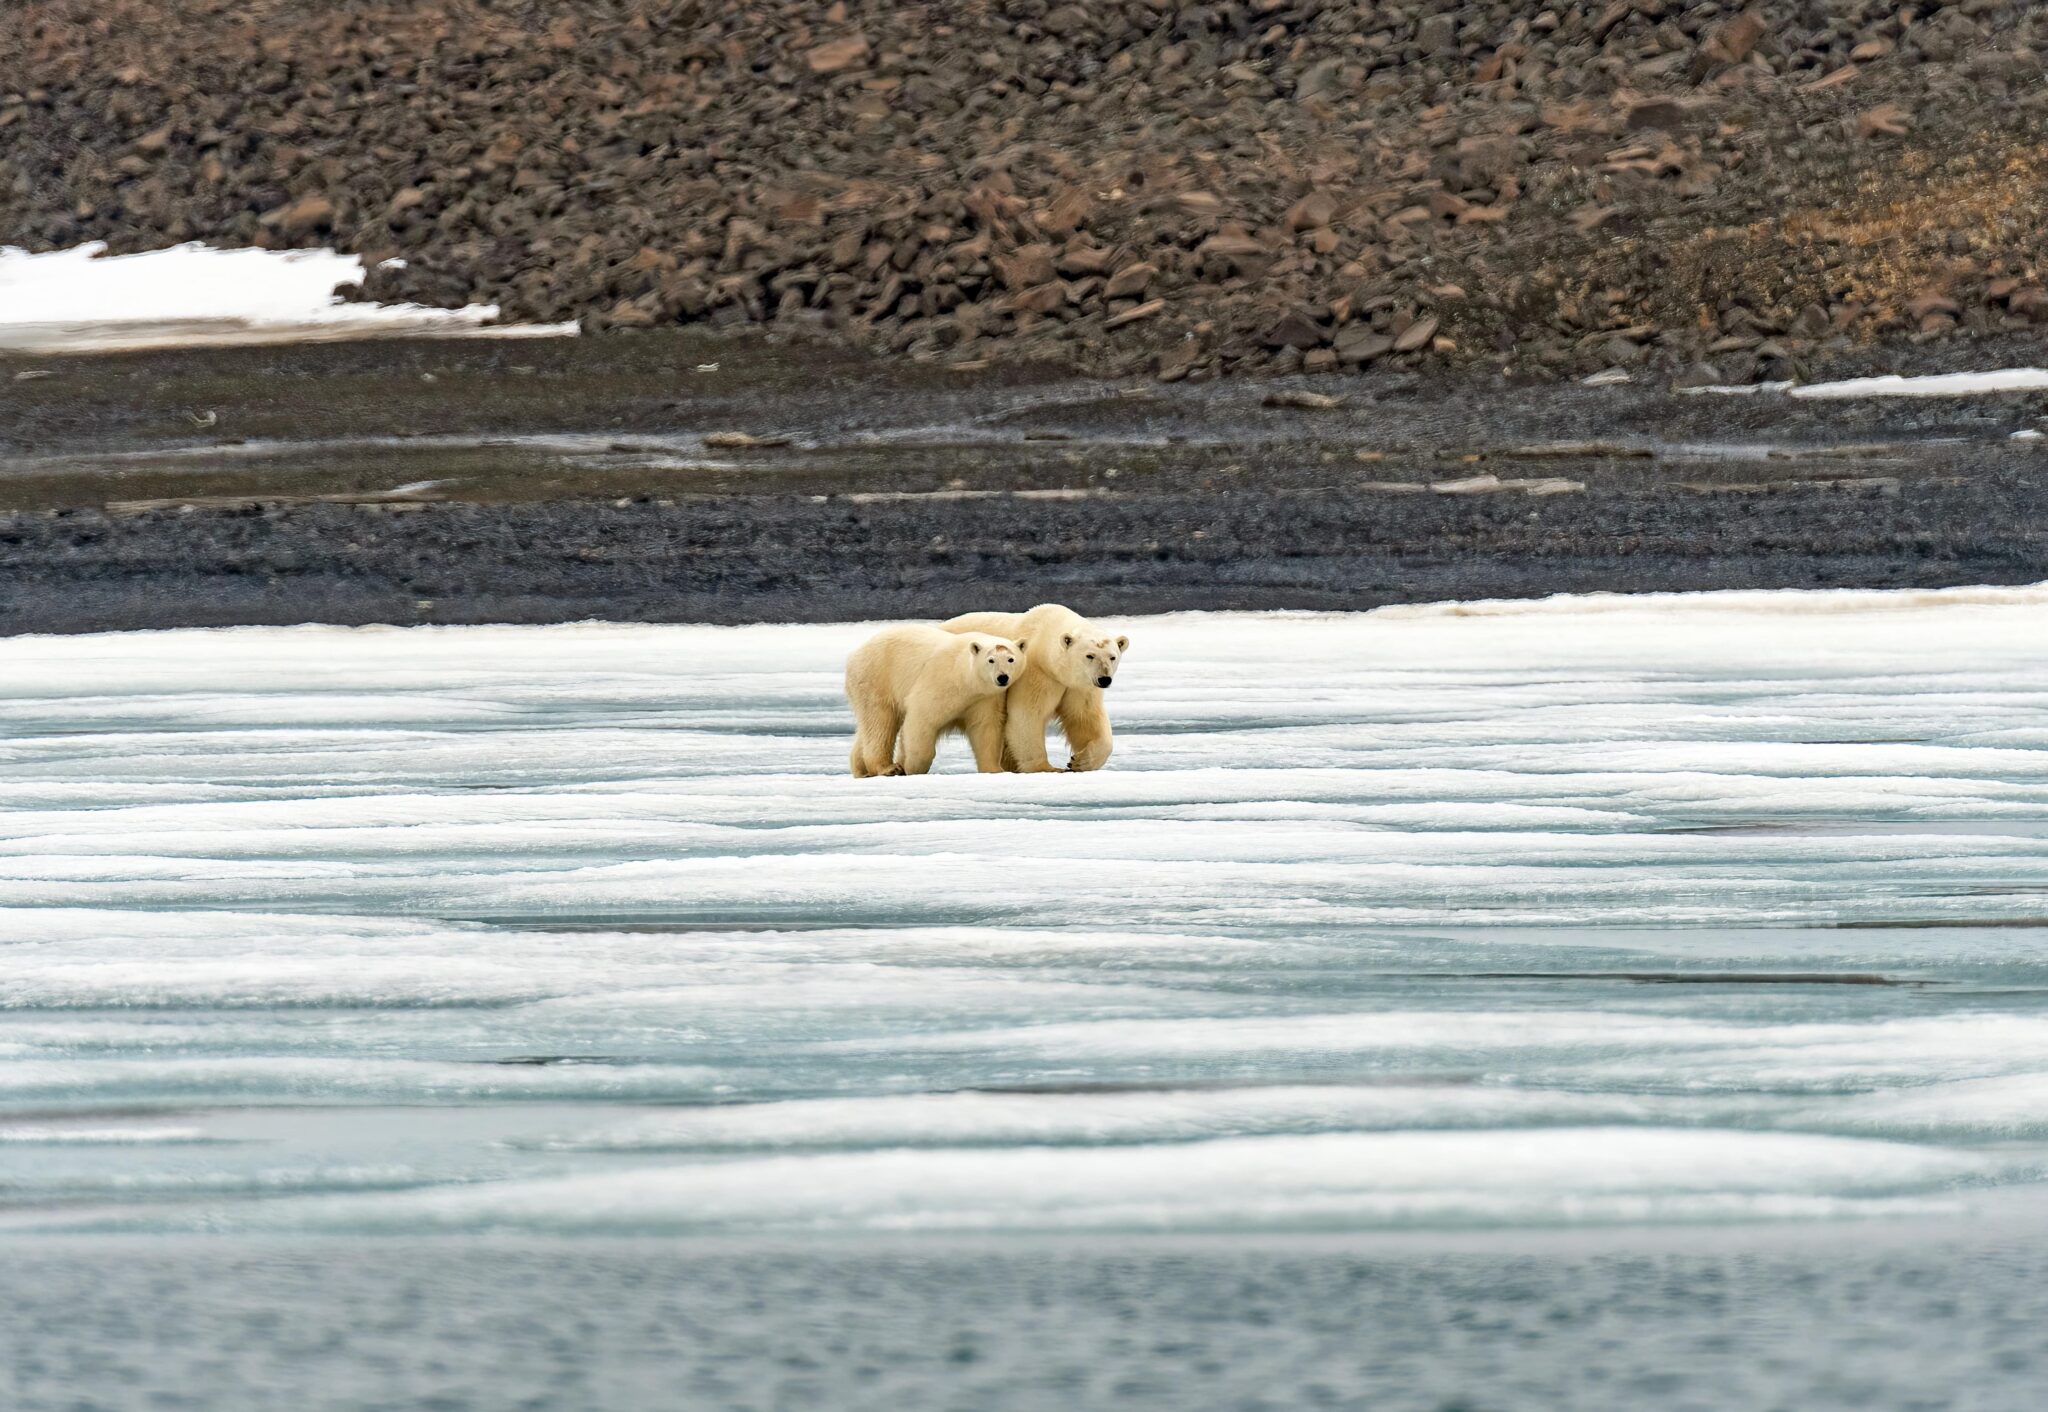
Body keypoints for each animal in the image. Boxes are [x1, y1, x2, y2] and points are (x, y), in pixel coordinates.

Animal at [844, 625, 1025, 777]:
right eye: (991, 660)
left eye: (1010, 659)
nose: (1002, 677)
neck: (964, 677)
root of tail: (855, 655)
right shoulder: (941, 681)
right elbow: (922, 718)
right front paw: (912, 768)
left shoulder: (984, 699)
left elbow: (986, 729)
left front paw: (995, 770)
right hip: (875, 678)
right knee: (880, 723)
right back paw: (887, 768)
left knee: (869, 727)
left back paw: (861, 769)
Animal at [940, 603, 1127, 772]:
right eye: (1090, 655)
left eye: (1112, 657)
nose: (1104, 679)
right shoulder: (1036, 672)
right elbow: (1027, 715)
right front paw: (1047, 768)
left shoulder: (1079, 686)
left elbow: (1084, 717)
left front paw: (1080, 761)